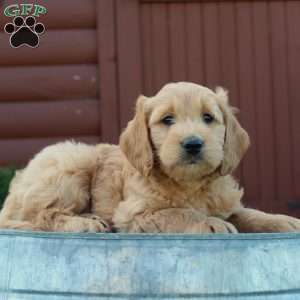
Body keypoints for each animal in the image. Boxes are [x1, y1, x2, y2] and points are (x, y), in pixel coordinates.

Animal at [0, 83, 300, 233]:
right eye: (167, 120)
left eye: (208, 118)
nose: (193, 144)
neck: (189, 184)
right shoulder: (134, 213)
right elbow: (178, 213)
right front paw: (210, 223)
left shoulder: (227, 203)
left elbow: (249, 213)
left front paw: (284, 221)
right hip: (74, 161)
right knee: (42, 215)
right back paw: (84, 222)